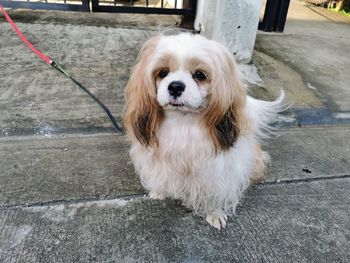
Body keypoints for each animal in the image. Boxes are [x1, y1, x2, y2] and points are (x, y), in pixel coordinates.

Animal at [123, 33, 284, 230]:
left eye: (200, 75)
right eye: (163, 72)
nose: (175, 86)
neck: (183, 121)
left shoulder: (217, 169)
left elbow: (214, 192)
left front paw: (214, 213)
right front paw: (160, 192)